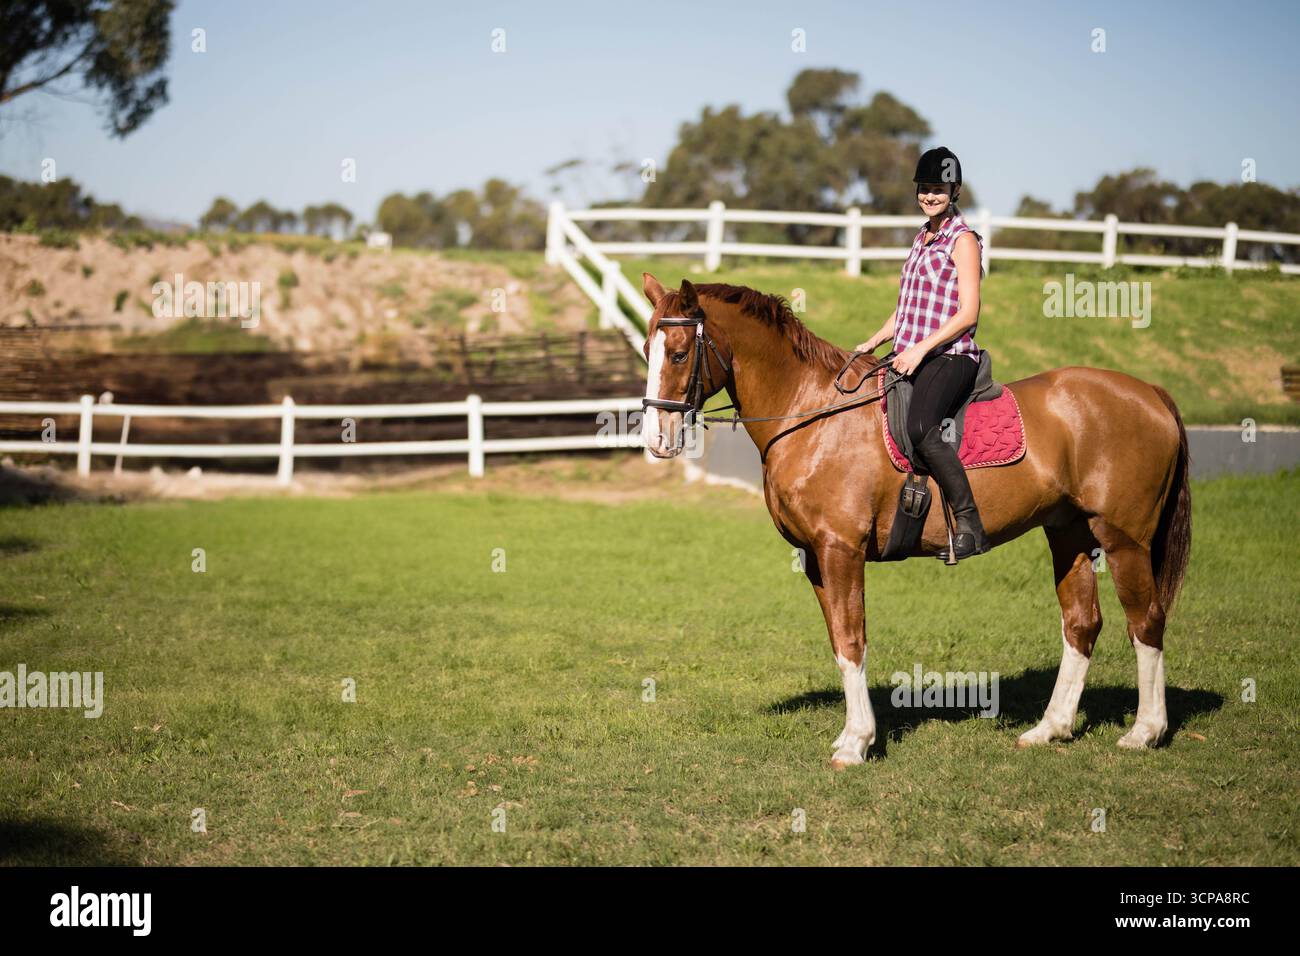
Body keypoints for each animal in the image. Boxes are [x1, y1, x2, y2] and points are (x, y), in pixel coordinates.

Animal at [639, 273, 1191, 768]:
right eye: (648, 349)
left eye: (680, 354)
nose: (656, 439)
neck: (813, 414)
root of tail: (1149, 392)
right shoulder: (816, 559)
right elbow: (839, 642)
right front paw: (853, 735)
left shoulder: (841, 550)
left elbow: (852, 639)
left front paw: (856, 744)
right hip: (1069, 533)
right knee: (1081, 624)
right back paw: (1050, 729)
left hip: (1123, 541)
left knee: (1146, 620)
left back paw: (1145, 732)